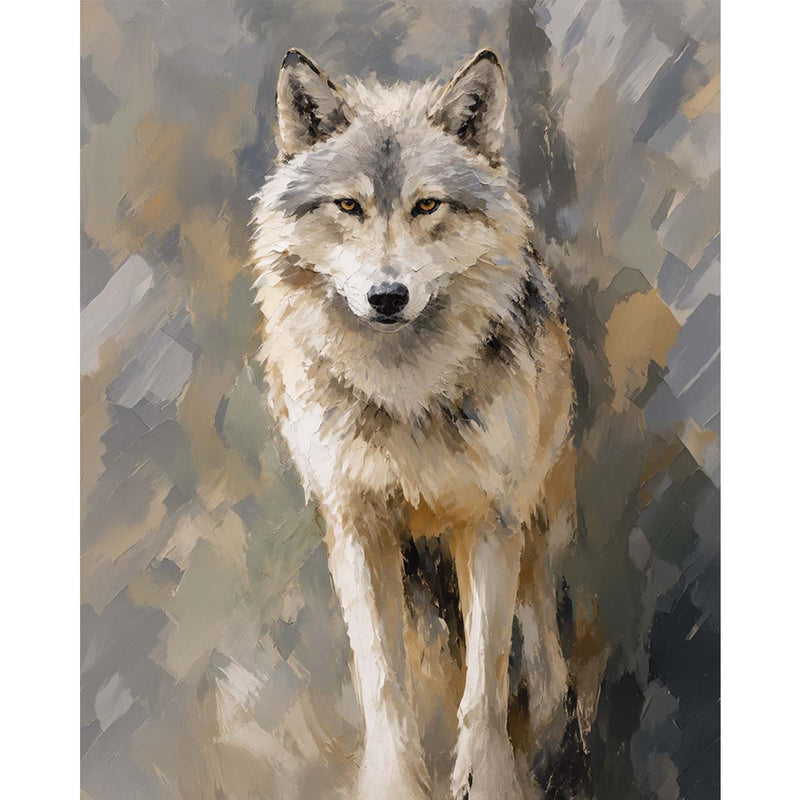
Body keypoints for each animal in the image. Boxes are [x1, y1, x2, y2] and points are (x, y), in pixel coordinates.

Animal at [251, 48, 578, 800]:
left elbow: (486, 682)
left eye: (426, 204)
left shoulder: (489, 522)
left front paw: (487, 779)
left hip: (539, 508)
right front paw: (395, 782)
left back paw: (552, 712)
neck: (404, 392)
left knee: (538, 610)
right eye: (349, 205)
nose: (387, 296)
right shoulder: (355, 523)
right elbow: (382, 679)